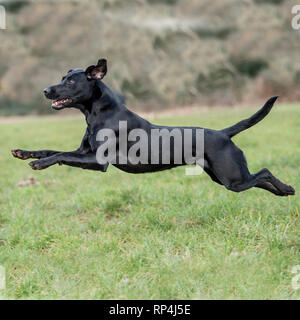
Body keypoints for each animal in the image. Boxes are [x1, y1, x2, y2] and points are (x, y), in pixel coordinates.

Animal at [11, 58, 296, 196]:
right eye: (62, 77)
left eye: (70, 81)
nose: (45, 90)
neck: (98, 112)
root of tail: (223, 133)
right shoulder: (83, 152)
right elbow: (51, 150)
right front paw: (24, 153)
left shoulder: (97, 160)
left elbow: (59, 155)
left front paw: (39, 164)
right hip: (224, 177)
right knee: (260, 179)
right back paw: (284, 192)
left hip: (232, 178)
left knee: (264, 173)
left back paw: (287, 189)